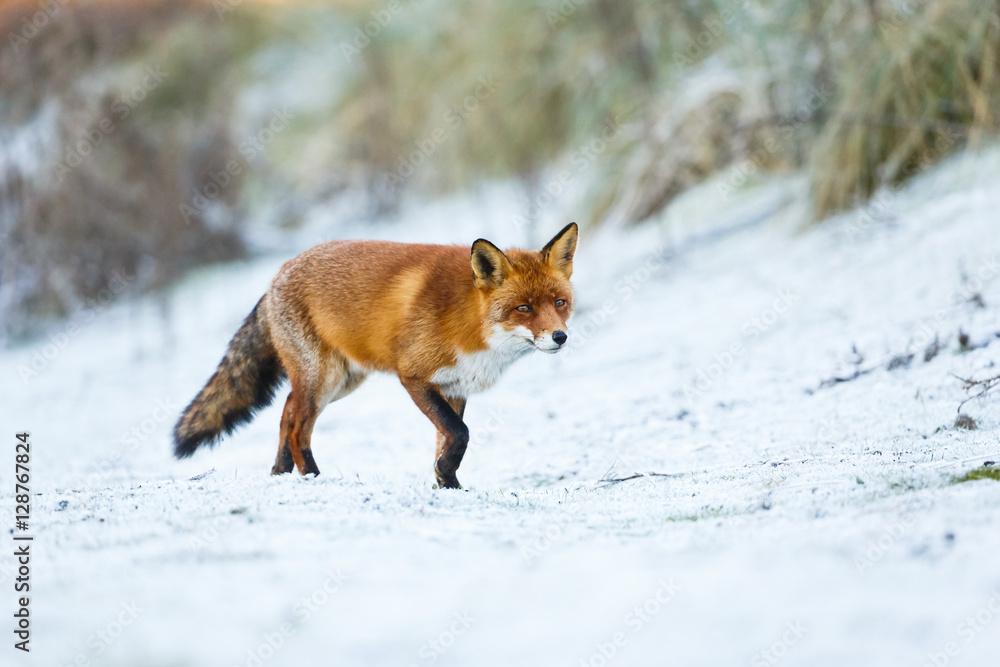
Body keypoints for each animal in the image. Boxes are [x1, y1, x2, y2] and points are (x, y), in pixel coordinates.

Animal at [172, 223, 578, 489]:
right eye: (523, 308)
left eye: (559, 303)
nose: (560, 337)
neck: (472, 326)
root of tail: (276, 276)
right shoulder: (413, 377)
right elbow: (459, 434)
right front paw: (447, 481)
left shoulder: (455, 387)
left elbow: (447, 443)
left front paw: (447, 484)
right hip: (323, 379)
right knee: (298, 425)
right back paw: (312, 476)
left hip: (340, 382)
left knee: (287, 412)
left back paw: (280, 472)